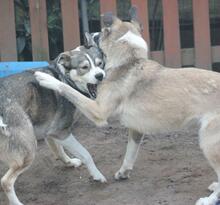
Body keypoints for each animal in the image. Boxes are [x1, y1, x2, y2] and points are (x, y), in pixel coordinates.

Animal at [0, 32, 106, 204]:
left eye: (100, 64)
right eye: (84, 67)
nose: (100, 76)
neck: (65, 77)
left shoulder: (50, 132)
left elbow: (59, 150)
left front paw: (69, 162)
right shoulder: (61, 132)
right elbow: (85, 154)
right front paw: (97, 175)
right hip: (29, 149)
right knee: (6, 182)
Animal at [35, 10, 220, 205]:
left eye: (101, 33)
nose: (88, 34)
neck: (129, 62)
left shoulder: (98, 112)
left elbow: (67, 89)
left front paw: (45, 78)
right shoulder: (136, 130)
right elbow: (130, 153)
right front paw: (123, 173)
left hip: (208, 143)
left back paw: (209, 199)